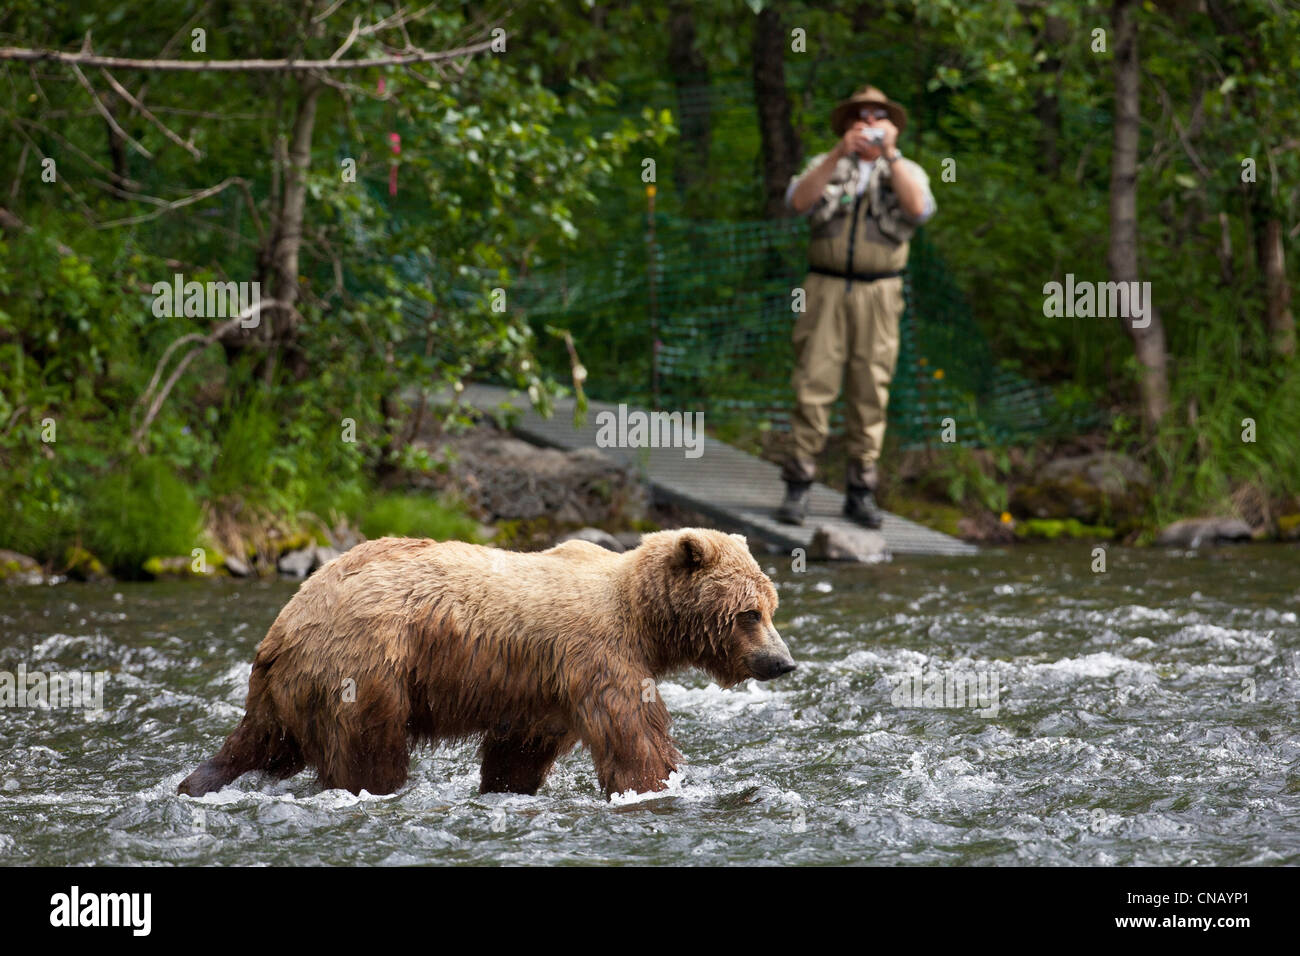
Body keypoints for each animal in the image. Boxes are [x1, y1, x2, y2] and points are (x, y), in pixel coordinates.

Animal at [175, 530, 790, 801]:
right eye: (748, 613)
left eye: (771, 605)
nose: (781, 661)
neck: (643, 619)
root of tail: (284, 623)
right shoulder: (600, 656)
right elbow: (634, 740)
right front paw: (662, 783)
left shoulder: (542, 691)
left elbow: (518, 751)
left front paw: (506, 787)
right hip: (365, 666)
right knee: (369, 752)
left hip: (289, 691)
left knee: (257, 742)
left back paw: (196, 782)